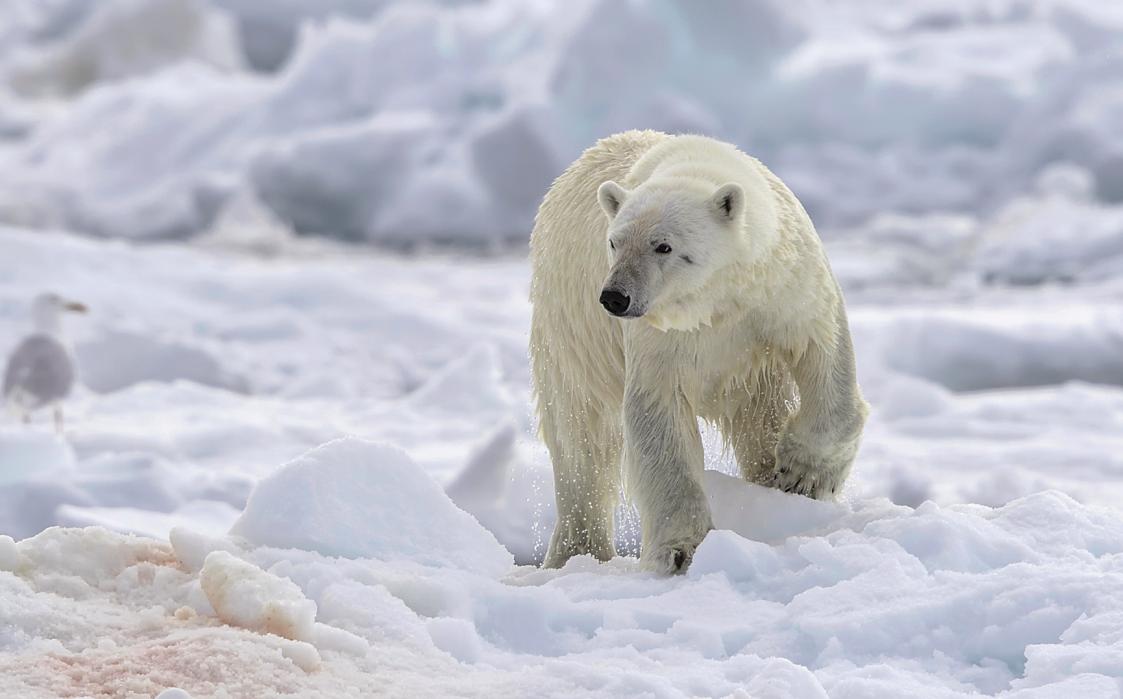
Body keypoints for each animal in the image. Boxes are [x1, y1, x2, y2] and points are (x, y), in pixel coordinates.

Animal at [529, 131, 868, 574]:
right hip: (571, 330)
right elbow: (658, 417)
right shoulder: (659, 337)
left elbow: (824, 354)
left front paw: (803, 476)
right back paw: (576, 550)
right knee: (581, 436)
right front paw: (680, 551)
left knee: (761, 417)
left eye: (664, 246)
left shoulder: (785, 285)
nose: (615, 297)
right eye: (614, 242)